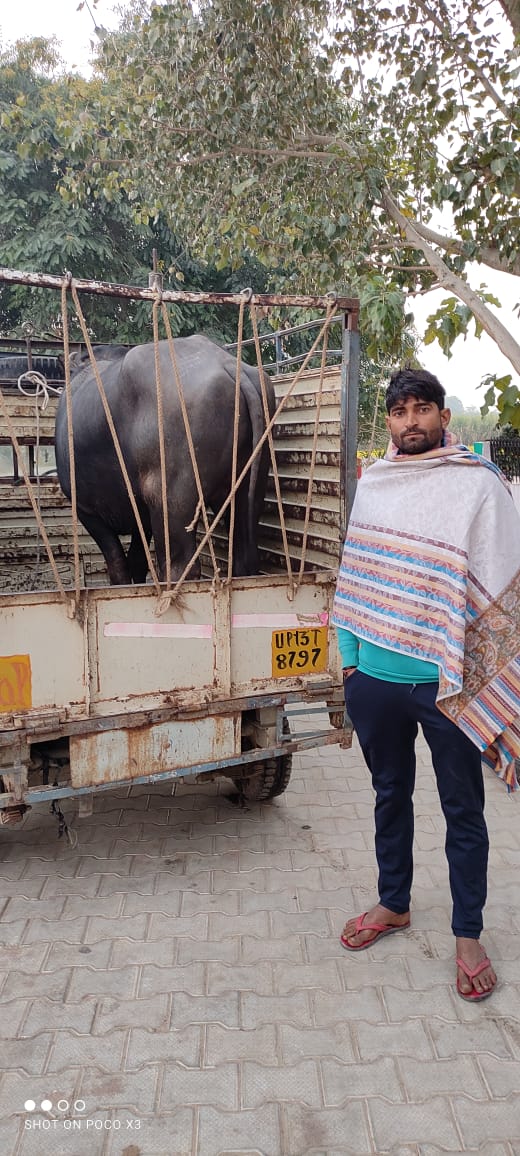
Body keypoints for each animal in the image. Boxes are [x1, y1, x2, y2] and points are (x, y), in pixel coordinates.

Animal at [55, 337, 276, 587]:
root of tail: (226, 364)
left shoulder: (86, 510)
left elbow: (118, 565)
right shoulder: (140, 518)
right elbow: (137, 560)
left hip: (170, 502)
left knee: (179, 566)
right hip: (247, 492)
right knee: (244, 558)